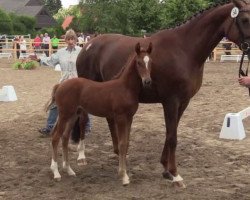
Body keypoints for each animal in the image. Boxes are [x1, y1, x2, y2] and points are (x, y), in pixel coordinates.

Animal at [75, 0, 250, 188]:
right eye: (245, 19)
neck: (184, 49)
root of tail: (88, 45)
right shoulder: (171, 101)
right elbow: (172, 137)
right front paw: (175, 174)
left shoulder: (183, 102)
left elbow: (170, 134)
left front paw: (166, 168)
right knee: (83, 119)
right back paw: (81, 156)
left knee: (109, 120)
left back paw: (117, 153)